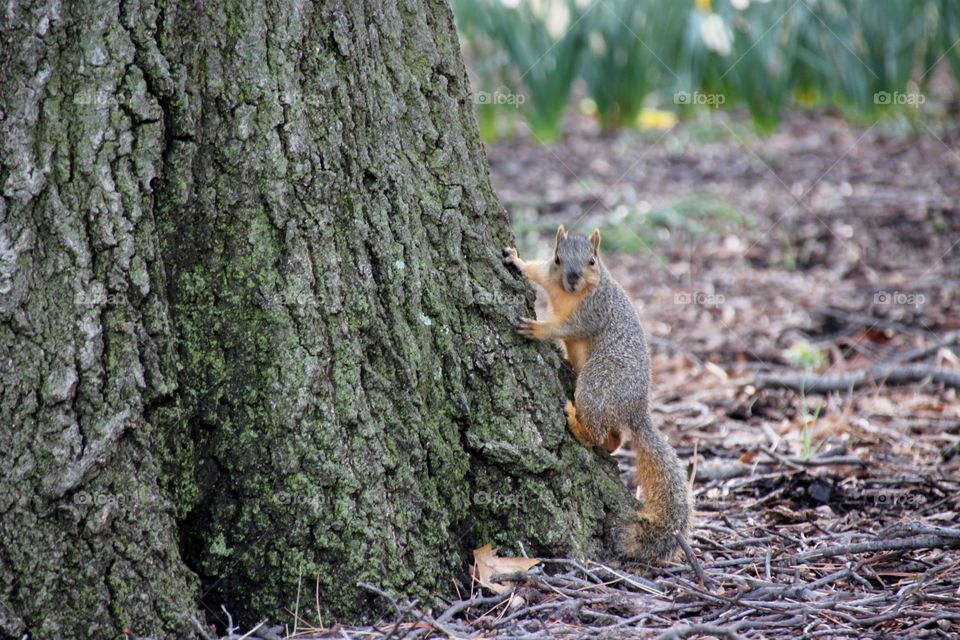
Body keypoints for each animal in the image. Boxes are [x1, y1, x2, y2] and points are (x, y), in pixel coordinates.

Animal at [503, 225, 691, 564]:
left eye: (592, 260)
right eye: (558, 257)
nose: (573, 276)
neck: (569, 294)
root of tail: (636, 410)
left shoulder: (593, 311)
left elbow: (569, 327)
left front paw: (539, 329)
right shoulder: (549, 275)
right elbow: (536, 271)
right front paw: (515, 259)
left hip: (597, 383)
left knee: (597, 430)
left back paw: (575, 423)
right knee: (614, 436)